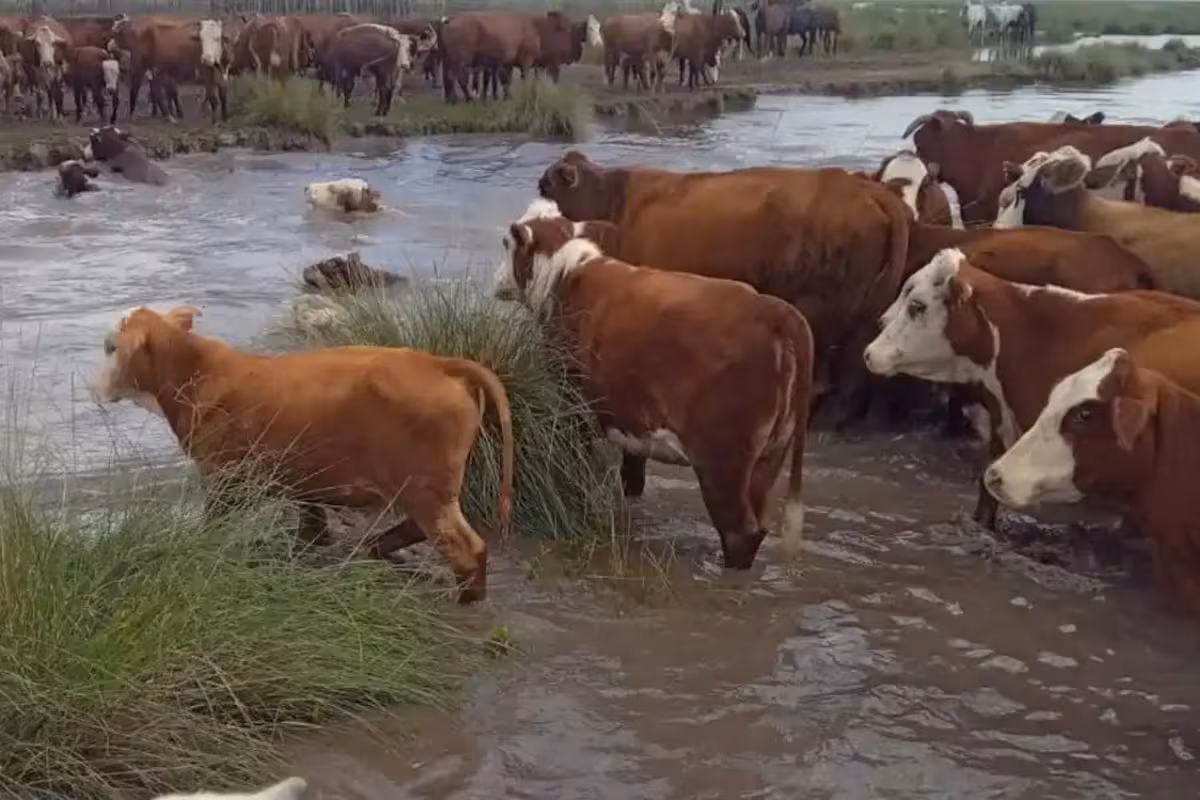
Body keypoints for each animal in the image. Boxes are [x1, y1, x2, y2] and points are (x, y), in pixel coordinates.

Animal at [94, 306, 514, 605]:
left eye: (111, 347)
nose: (95, 387)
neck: (195, 372)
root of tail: (437, 364)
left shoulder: (224, 479)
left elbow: (215, 526)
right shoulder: (302, 479)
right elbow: (311, 523)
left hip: (425, 487)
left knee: (466, 549)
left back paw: (467, 600)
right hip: (427, 487)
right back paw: (376, 548)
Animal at [495, 210, 813, 570]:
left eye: (506, 244)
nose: (497, 280)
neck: (567, 277)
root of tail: (774, 309)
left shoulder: (571, 406)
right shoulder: (632, 416)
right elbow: (632, 475)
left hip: (723, 461)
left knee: (739, 531)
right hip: (770, 456)